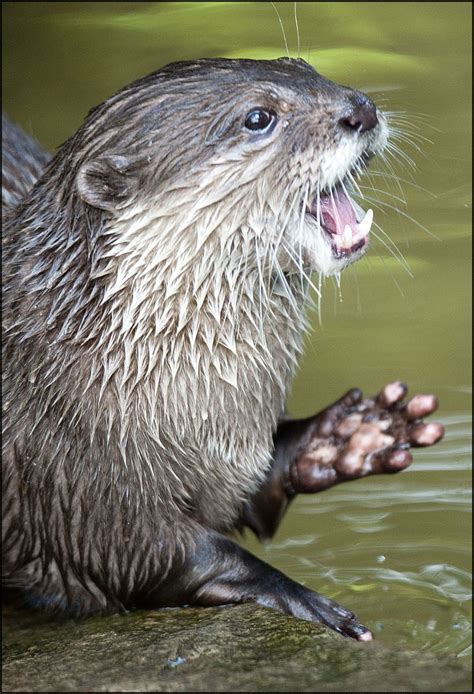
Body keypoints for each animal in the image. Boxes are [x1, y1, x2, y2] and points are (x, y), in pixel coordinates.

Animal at [1, 58, 442, 640]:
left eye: (306, 67)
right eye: (259, 117)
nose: (360, 110)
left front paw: (351, 433)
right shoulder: (66, 476)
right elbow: (142, 552)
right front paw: (295, 594)